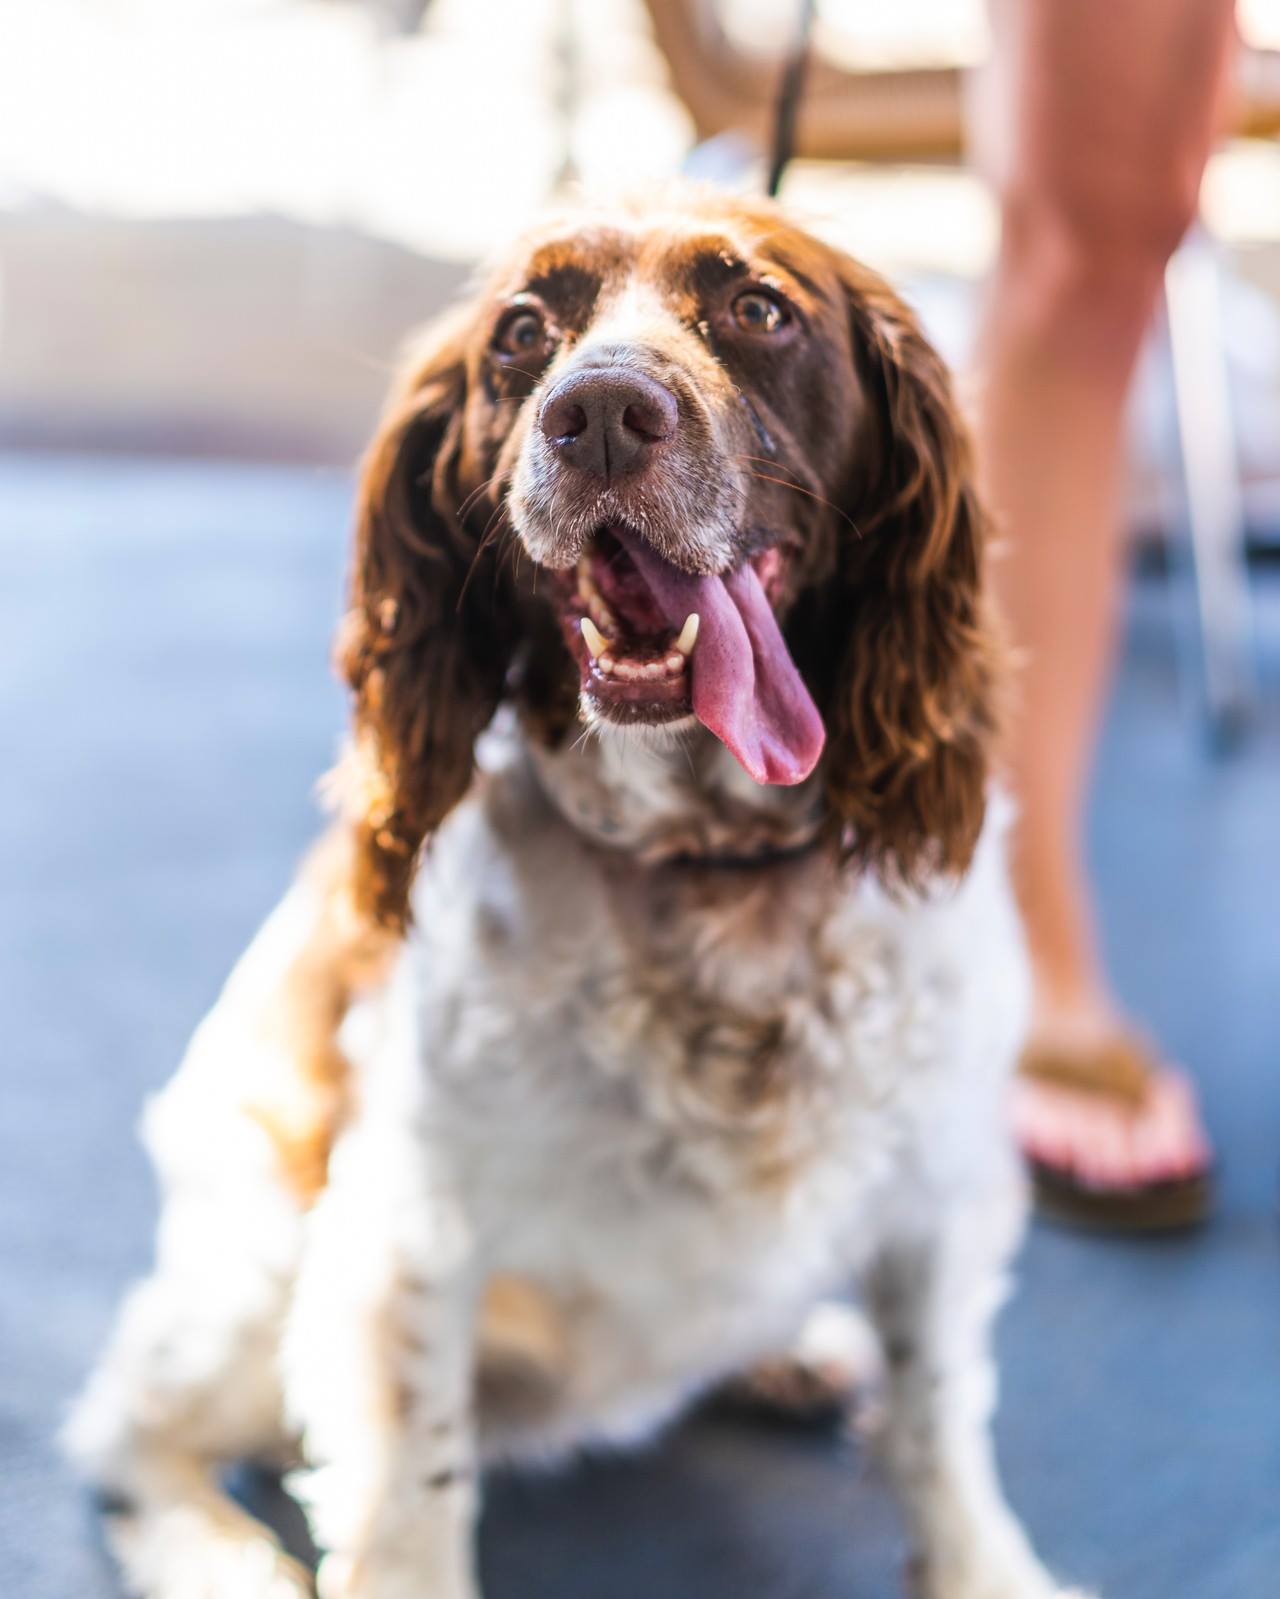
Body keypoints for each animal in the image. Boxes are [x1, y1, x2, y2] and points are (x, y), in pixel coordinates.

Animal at [67, 193, 1086, 1599]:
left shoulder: (938, 1185)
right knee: (126, 1427)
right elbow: (410, 1500)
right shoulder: (408, 1234)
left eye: (757, 308)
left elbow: (936, 1421)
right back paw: (220, 1557)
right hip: (252, 1273)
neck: (707, 875)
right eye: (520, 332)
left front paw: (979, 1567)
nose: (598, 411)